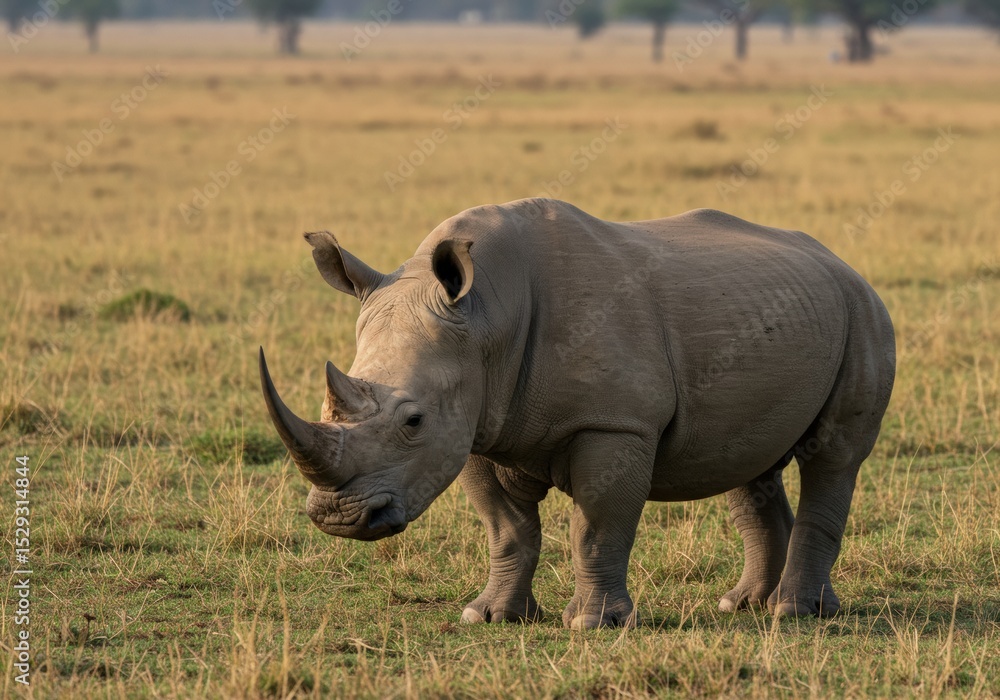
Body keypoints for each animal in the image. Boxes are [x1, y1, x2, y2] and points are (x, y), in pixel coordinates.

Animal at [259, 198, 895, 629]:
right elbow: (507, 528)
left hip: (864, 312)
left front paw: (594, 625)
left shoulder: (613, 423)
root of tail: (840, 261)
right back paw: (743, 605)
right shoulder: (475, 426)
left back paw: (796, 612)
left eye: (412, 422)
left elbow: (597, 525)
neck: (487, 316)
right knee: (742, 459)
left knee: (834, 459)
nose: (338, 518)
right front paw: (490, 616)